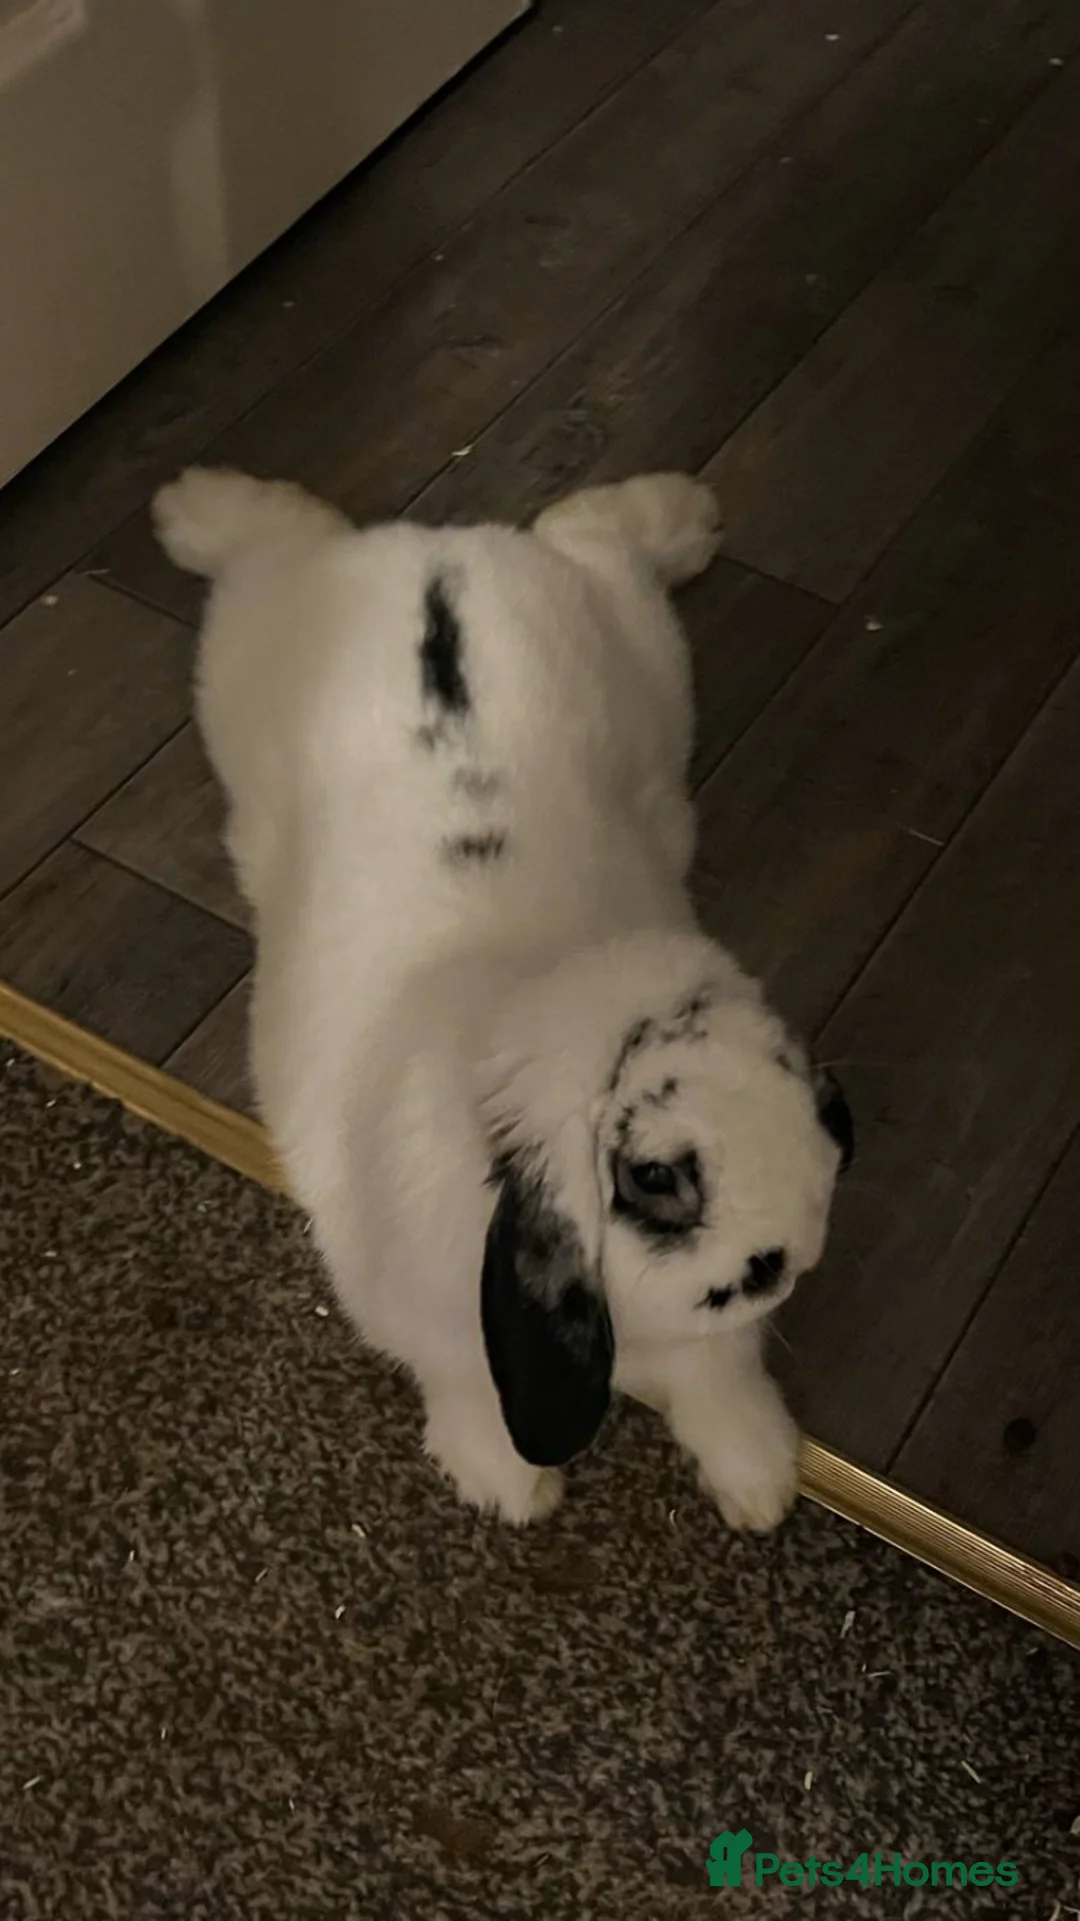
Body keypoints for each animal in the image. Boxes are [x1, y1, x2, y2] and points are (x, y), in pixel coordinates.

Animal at [153, 465, 853, 1531]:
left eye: (792, 1078)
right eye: (655, 1176)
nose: (793, 1251)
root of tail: (438, 556)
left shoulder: (709, 1348)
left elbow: (722, 1381)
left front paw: (758, 1481)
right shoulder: (430, 1324)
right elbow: (465, 1388)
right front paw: (508, 1485)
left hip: (638, 648)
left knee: (596, 529)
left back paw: (686, 516)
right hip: (246, 659)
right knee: (268, 540)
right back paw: (189, 506)